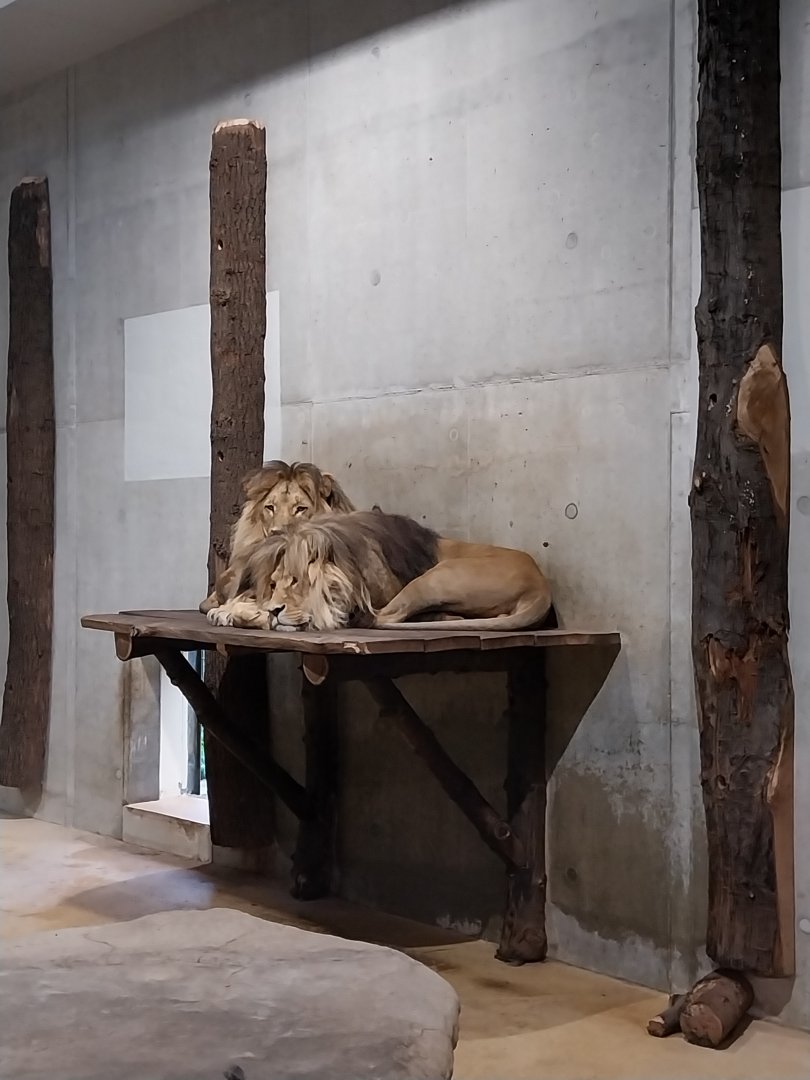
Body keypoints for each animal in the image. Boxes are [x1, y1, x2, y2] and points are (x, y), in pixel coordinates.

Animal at [208, 509, 553, 633]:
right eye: (274, 583)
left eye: (296, 582)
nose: (275, 609)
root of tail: (541, 586)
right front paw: (234, 609)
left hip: (434, 578)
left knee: (383, 617)